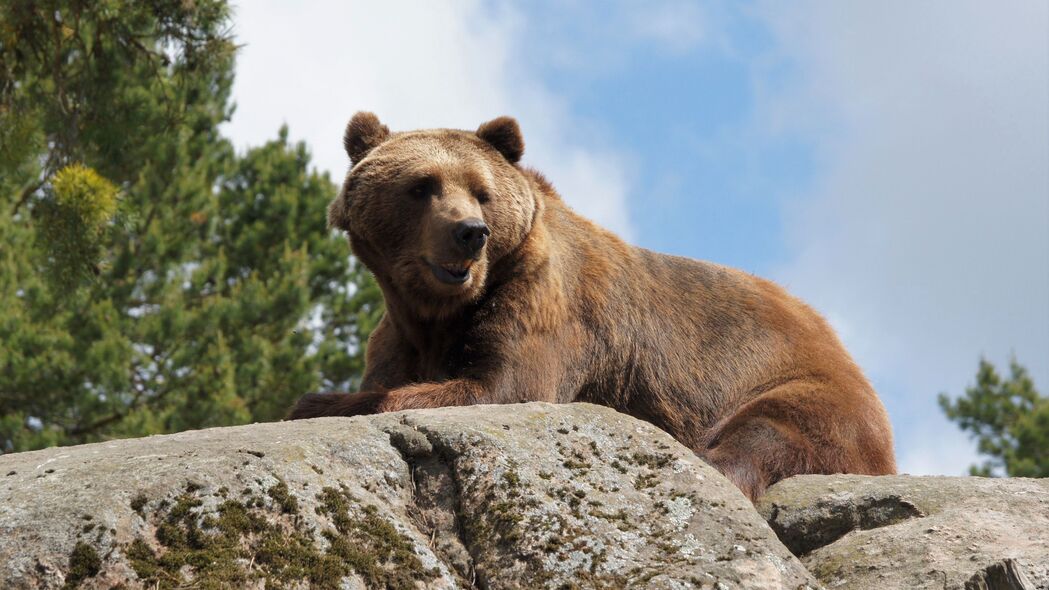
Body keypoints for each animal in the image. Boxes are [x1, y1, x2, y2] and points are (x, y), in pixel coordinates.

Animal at [291, 112, 897, 497]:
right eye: (423, 185)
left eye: (481, 190)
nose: (470, 233)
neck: (441, 312)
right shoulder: (399, 334)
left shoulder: (545, 304)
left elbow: (504, 385)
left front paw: (317, 401)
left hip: (802, 387)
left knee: (770, 432)